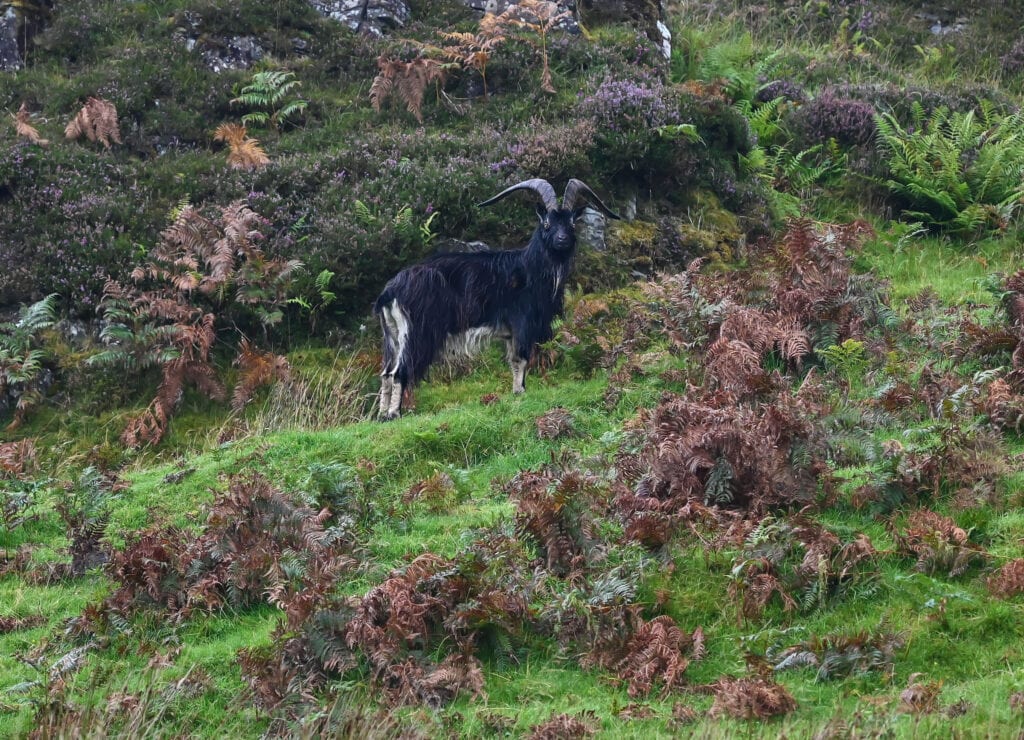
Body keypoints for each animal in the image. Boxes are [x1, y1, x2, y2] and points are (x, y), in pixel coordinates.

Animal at [374, 177, 618, 419]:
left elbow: (513, 360)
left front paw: (517, 391)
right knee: (399, 372)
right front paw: (520, 393)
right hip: (417, 333)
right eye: (547, 224)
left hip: (392, 335)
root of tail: (391, 291)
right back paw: (394, 414)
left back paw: (382, 415)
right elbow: (521, 357)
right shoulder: (522, 321)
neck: (530, 268)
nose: (562, 240)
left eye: (571, 224)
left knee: (386, 373)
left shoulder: (510, 332)